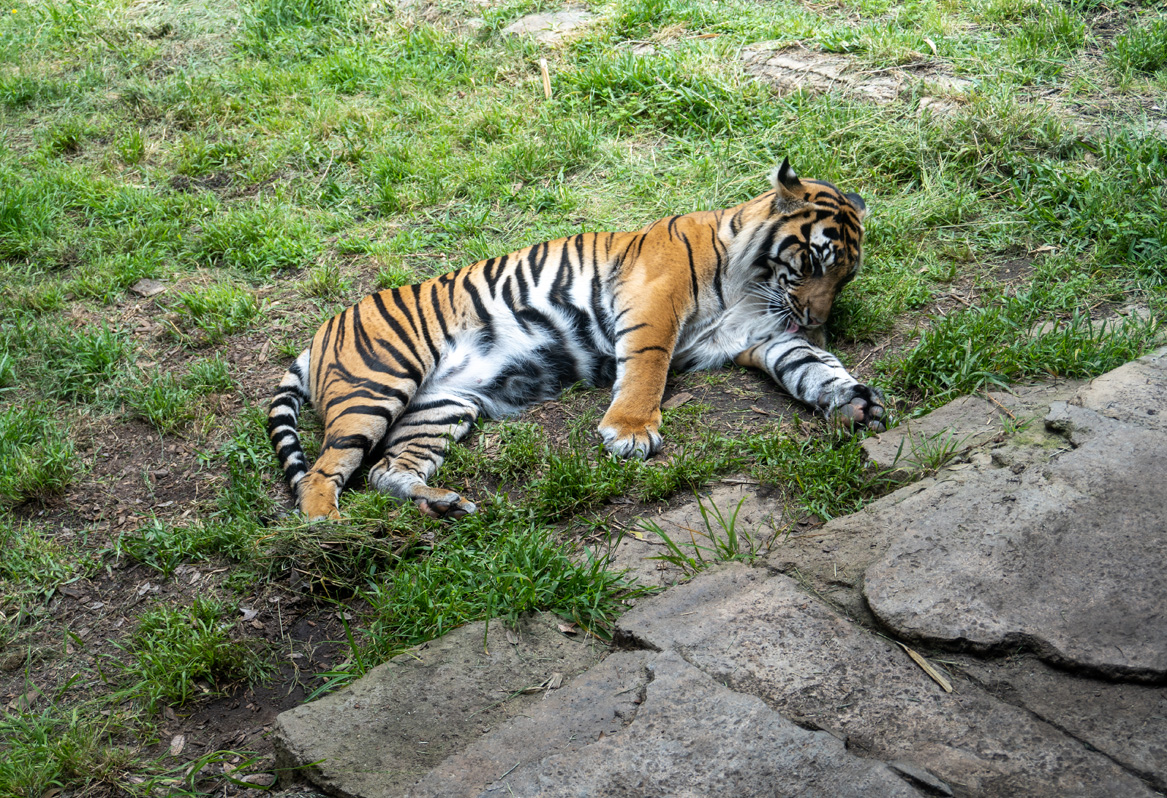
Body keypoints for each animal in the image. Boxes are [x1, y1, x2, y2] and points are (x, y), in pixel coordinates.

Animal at [268, 159, 885, 521]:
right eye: (814, 261)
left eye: (846, 277)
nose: (815, 318)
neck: (754, 283)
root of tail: (320, 332)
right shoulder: (654, 303)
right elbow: (647, 369)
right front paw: (631, 432)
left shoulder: (763, 337)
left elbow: (810, 364)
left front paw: (856, 402)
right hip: (379, 385)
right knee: (322, 473)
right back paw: (329, 524)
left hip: (440, 407)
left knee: (386, 469)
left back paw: (441, 503)